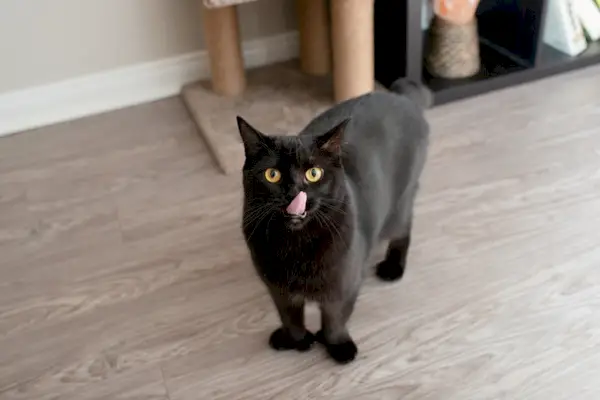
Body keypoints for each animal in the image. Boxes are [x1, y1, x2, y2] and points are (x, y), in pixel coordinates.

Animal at [237, 79, 428, 364]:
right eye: (272, 174)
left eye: (314, 173)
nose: (295, 191)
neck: (296, 245)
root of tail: (402, 97)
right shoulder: (278, 290)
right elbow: (290, 317)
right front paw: (296, 340)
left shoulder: (344, 286)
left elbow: (335, 320)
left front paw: (337, 346)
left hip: (399, 206)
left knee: (404, 230)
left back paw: (392, 267)